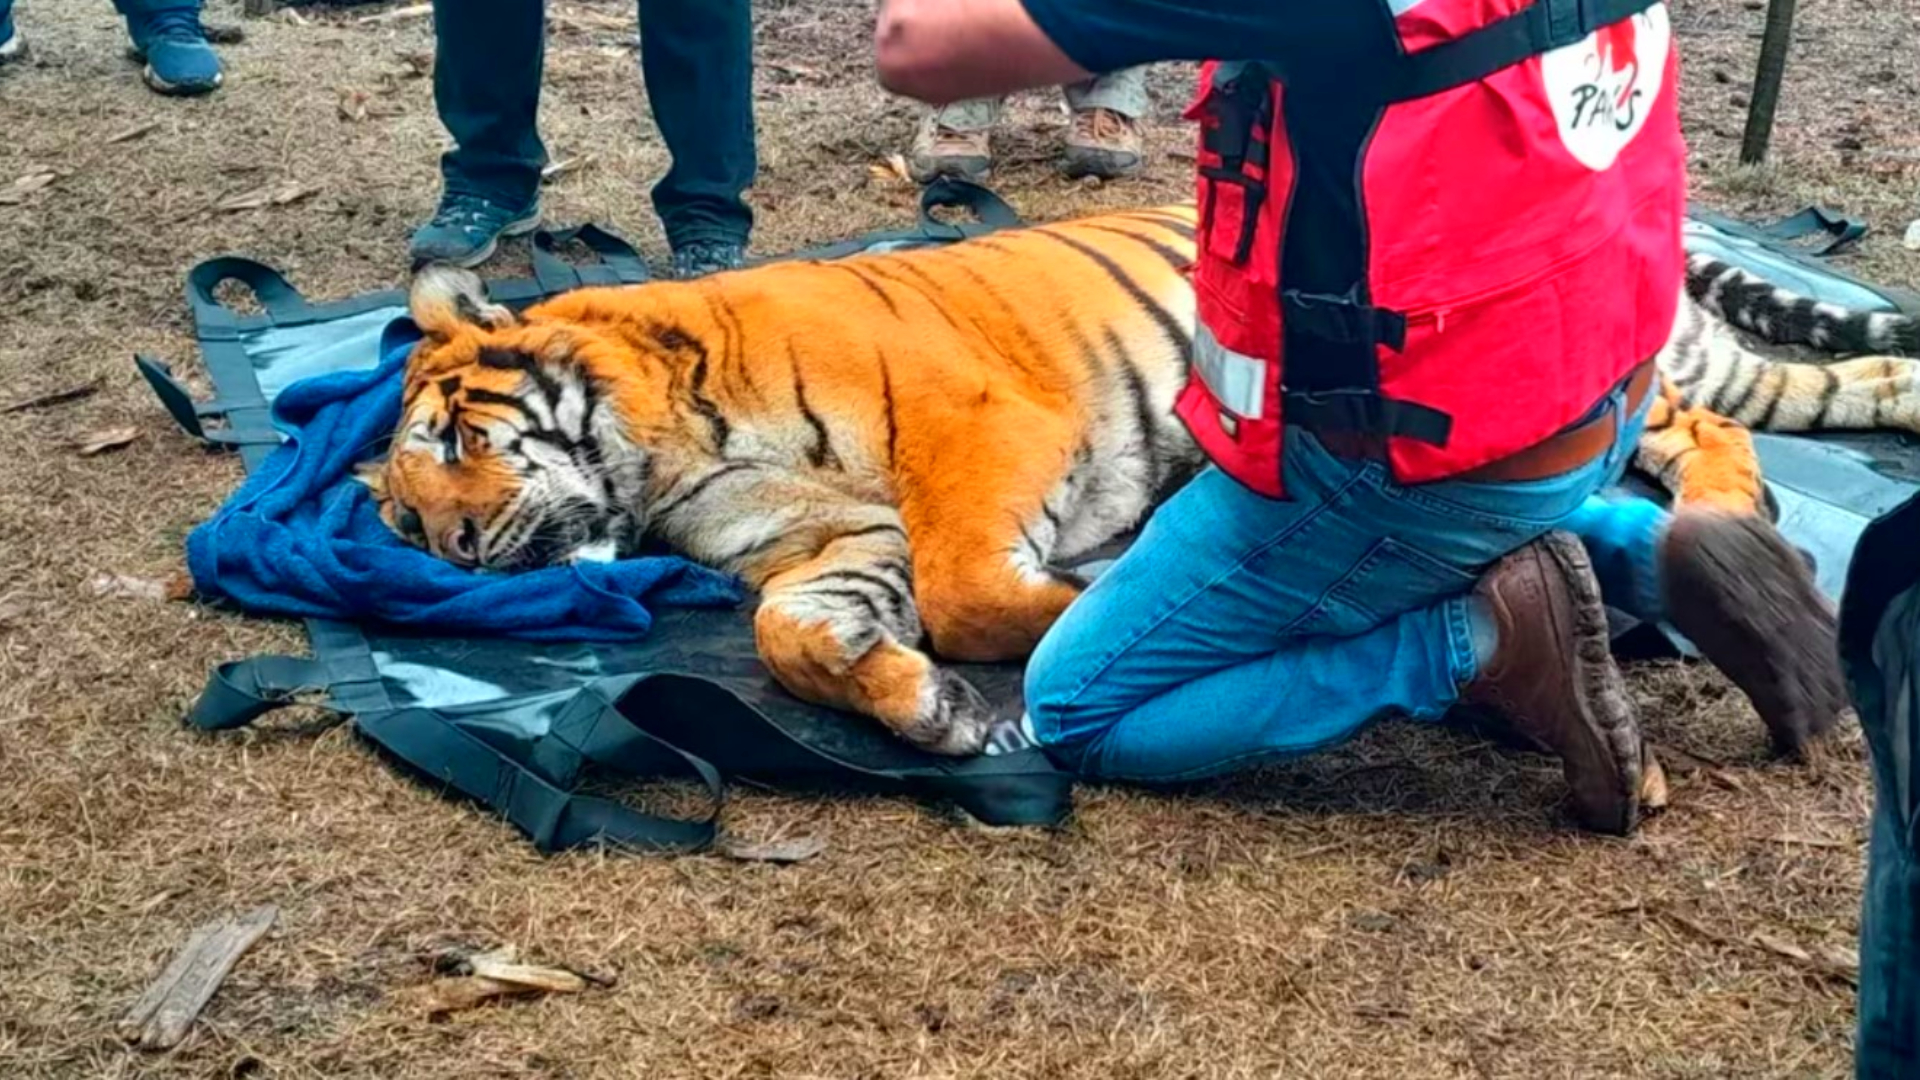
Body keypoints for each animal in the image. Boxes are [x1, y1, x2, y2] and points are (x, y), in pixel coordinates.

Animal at [362, 203, 1920, 757]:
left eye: (449, 444)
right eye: (397, 518)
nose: (454, 552)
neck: (661, 461)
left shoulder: (978, 427)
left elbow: (976, 587)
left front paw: (1086, 607)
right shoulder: (822, 547)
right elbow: (797, 632)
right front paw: (925, 709)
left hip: (1643, 372)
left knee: (1708, 435)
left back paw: (1735, 523)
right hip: (1737, 372)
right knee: (1849, 391)